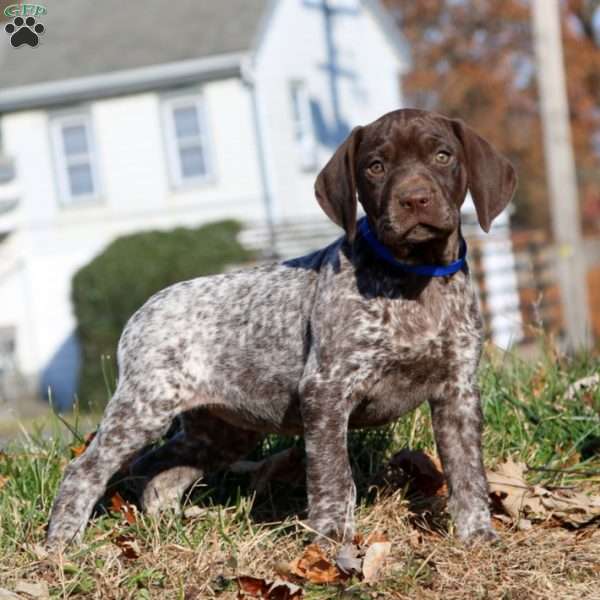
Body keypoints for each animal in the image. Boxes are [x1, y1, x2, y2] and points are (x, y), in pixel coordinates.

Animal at [47, 109, 516, 548]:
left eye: (443, 156)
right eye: (376, 166)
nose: (415, 200)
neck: (414, 278)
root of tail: (143, 311)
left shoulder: (457, 392)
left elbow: (467, 472)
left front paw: (477, 537)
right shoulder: (326, 391)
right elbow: (333, 477)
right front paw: (331, 545)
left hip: (221, 430)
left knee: (156, 470)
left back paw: (165, 526)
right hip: (146, 406)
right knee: (85, 469)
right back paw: (62, 544)